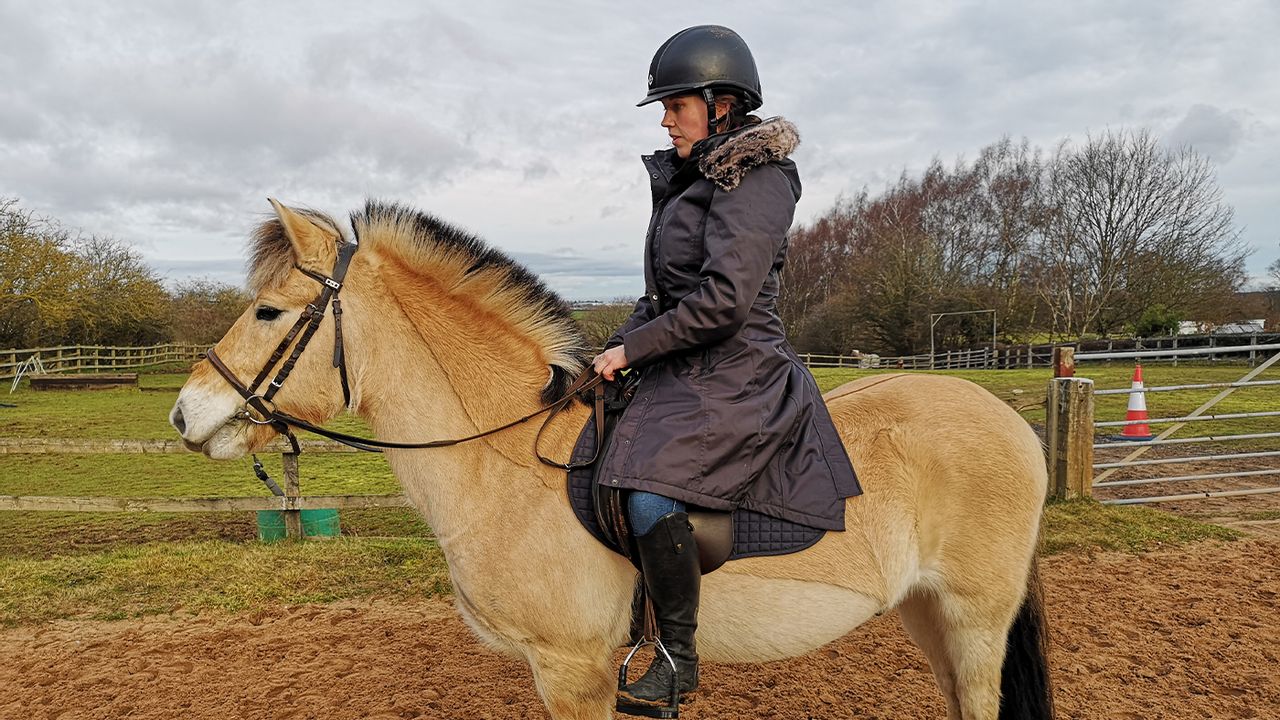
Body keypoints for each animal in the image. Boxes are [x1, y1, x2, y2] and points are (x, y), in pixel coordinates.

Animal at [170, 200, 1054, 720]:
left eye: (269, 310)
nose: (185, 414)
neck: (502, 463)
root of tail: (1005, 417)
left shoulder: (573, 670)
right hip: (928, 610)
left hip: (975, 617)